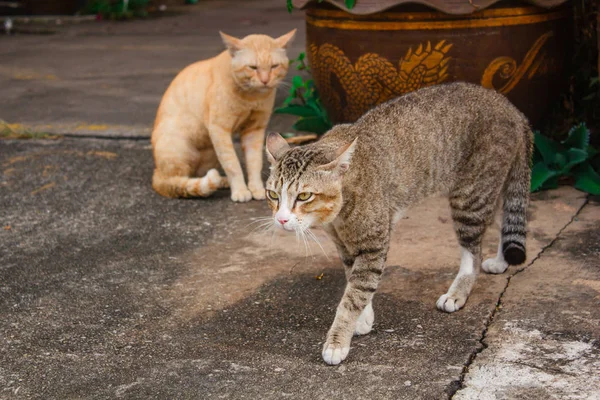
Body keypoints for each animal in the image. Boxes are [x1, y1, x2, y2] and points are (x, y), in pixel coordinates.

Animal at [151, 29, 296, 202]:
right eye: (253, 67)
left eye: (274, 66)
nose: (265, 80)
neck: (251, 98)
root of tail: (157, 172)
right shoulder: (219, 130)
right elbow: (232, 164)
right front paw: (240, 190)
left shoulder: (255, 130)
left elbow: (254, 162)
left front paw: (256, 188)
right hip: (178, 147)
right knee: (175, 182)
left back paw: (221, 181)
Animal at [264, 83, 532, 366]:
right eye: (273, 195)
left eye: (304, 196)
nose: (281, 219)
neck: (338, 214)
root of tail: (510, 107)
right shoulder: (345, 246)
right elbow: (354, 281)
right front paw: (364, 318)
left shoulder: (373, 243)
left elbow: (353, 296)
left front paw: (337, 342)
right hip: (492, 186)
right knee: (506, 214)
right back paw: (501, 261)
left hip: (470, 196)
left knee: (473, 253)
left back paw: (458, 292)